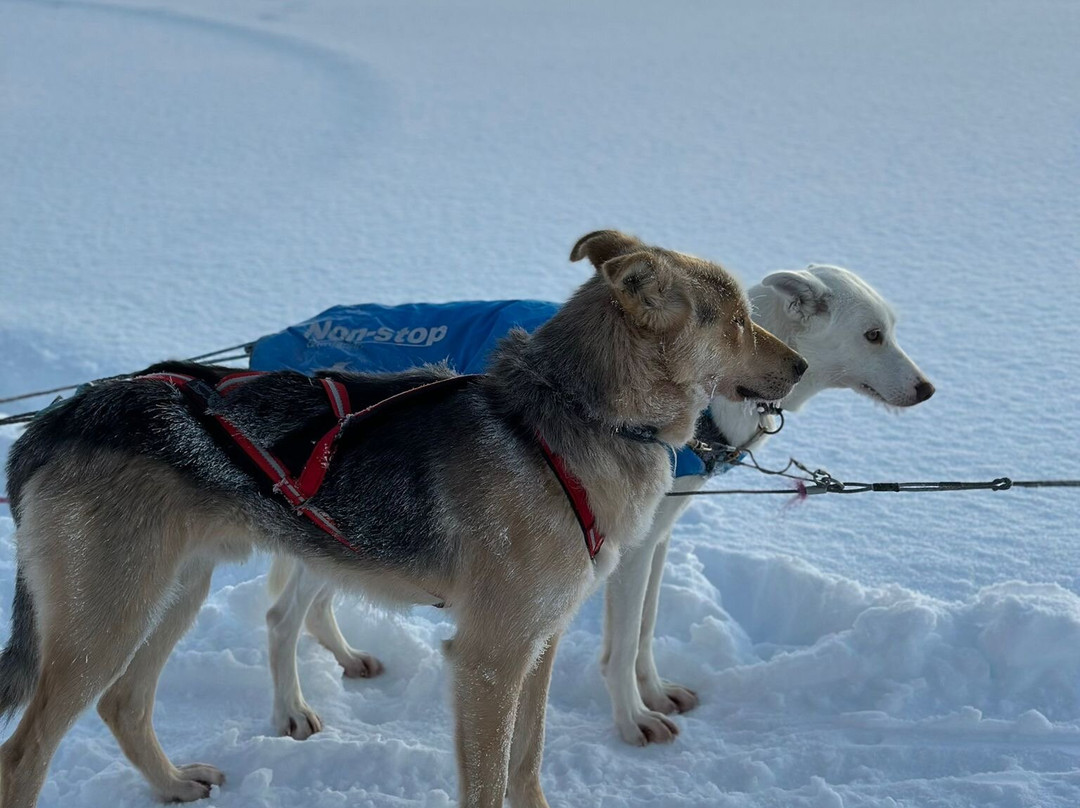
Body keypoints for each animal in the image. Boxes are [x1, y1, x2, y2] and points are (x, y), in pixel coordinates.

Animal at [0, 230, 806, 808]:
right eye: (740, 320)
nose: (799, 366)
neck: (571, 418)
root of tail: (58, 416)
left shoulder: (537, 644)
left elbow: (526, 764)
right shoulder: (489, 658)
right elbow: (488, 784)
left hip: (172, 594)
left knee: (124, 705)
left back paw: (170, 785)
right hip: (107, 621)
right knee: (24, 755)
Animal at [261, 262, 935, 748]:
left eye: (892, 328)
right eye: (873, 334)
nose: (928, 388)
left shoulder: (657, 538)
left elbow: (645, 632)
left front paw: (655, 693)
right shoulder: (624, 549)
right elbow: (620, 645)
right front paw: (633, 720)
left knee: (316, 603)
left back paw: (348, 657)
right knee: (282, 615)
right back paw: (293, 711)